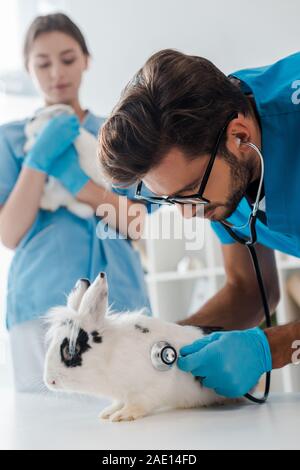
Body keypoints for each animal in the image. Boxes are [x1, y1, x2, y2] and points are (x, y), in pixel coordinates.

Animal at [44, 272, 237, 422]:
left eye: (71, 350)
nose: (49, 381)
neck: (110, 354)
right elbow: (118, 402)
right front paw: (108, 412)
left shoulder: (147, 389)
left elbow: (138, 404)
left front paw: (122, 416)